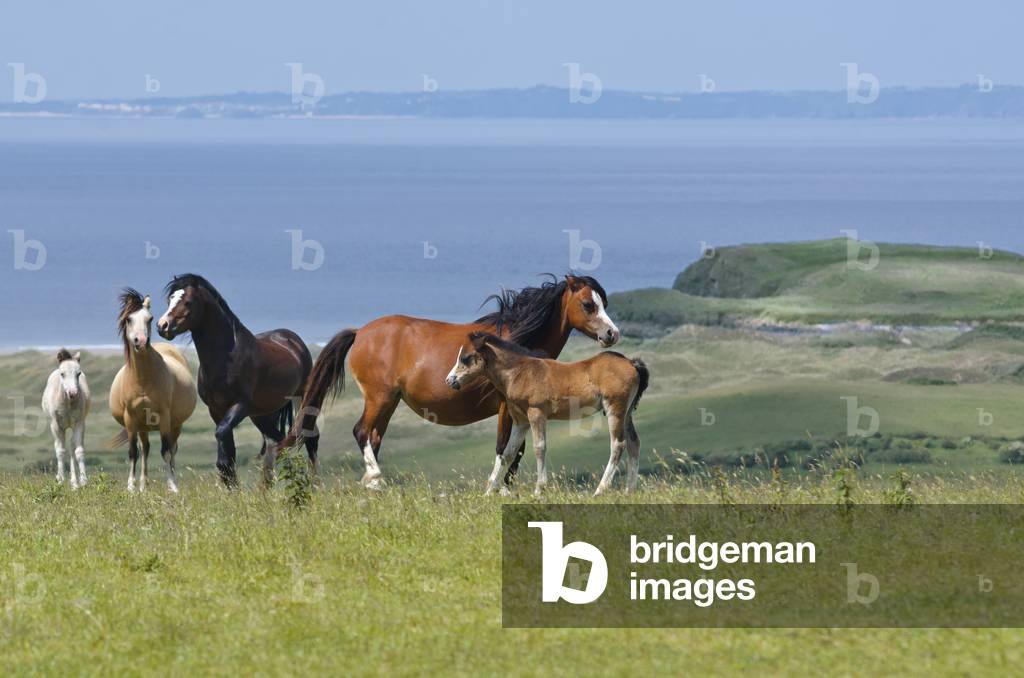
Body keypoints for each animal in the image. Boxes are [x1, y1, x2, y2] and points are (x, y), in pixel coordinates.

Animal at [41, 349, 91, 489]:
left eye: (78, 373)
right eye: (62, 374)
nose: (72, 393)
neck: (67, 404)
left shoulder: (79, 423)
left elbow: (79, 451)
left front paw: (83, 481)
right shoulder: (56, 425)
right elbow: (60, 451)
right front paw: (61, 480)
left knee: (72, 446)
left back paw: (74, 482)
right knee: (60, 447)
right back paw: (61, 477)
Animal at [109, 289, 197, 492]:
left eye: (149, 319)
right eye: (128, 319)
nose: (141, 342)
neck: (142, 380)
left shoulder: (164, 418)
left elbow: (165, 452)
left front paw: (172, 486)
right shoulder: (131, 420)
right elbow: (133, 452)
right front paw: (131, 487)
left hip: (175, 425)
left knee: (172, 449)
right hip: (143, 426)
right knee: (145, 449)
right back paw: (143, 487)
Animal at [156, 274, 317, 486]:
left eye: (188, 302)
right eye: (170, 300)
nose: (162, 326)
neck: (226, 357)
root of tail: (293, 340)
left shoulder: (239, 405)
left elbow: (222, 438)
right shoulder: (216, 409)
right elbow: (227, 447)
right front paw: (231, 485)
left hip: (301, 399)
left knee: (310, 437)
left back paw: (315, 484)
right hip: (261, 413)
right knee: (276, 440)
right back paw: (266, 488)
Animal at [285, 274, 619, 489]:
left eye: (603, 302)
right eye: (588, 305)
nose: (612, 334)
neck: (517, 343)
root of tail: (360, 332)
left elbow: (518, 449)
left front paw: (506, 487)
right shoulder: (505, 407)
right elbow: (504, 447)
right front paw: (497, 489)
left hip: (389, 401)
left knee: (374, 437)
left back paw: (372, 487)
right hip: (379, 397)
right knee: (362, 431)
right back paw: (377, 481)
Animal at [445, 332, 649, 496]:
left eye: (466, 358)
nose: (449, 380)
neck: (520, 373)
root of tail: (631, 363)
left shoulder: (536, 413)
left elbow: (539, 447)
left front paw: (539, 489)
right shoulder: (520, 421)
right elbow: (508, 453)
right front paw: (488, 493)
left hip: (615, 408)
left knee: (618, 444)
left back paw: (600, 490)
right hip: (627, 412)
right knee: (634, 443)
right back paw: (629, 491)